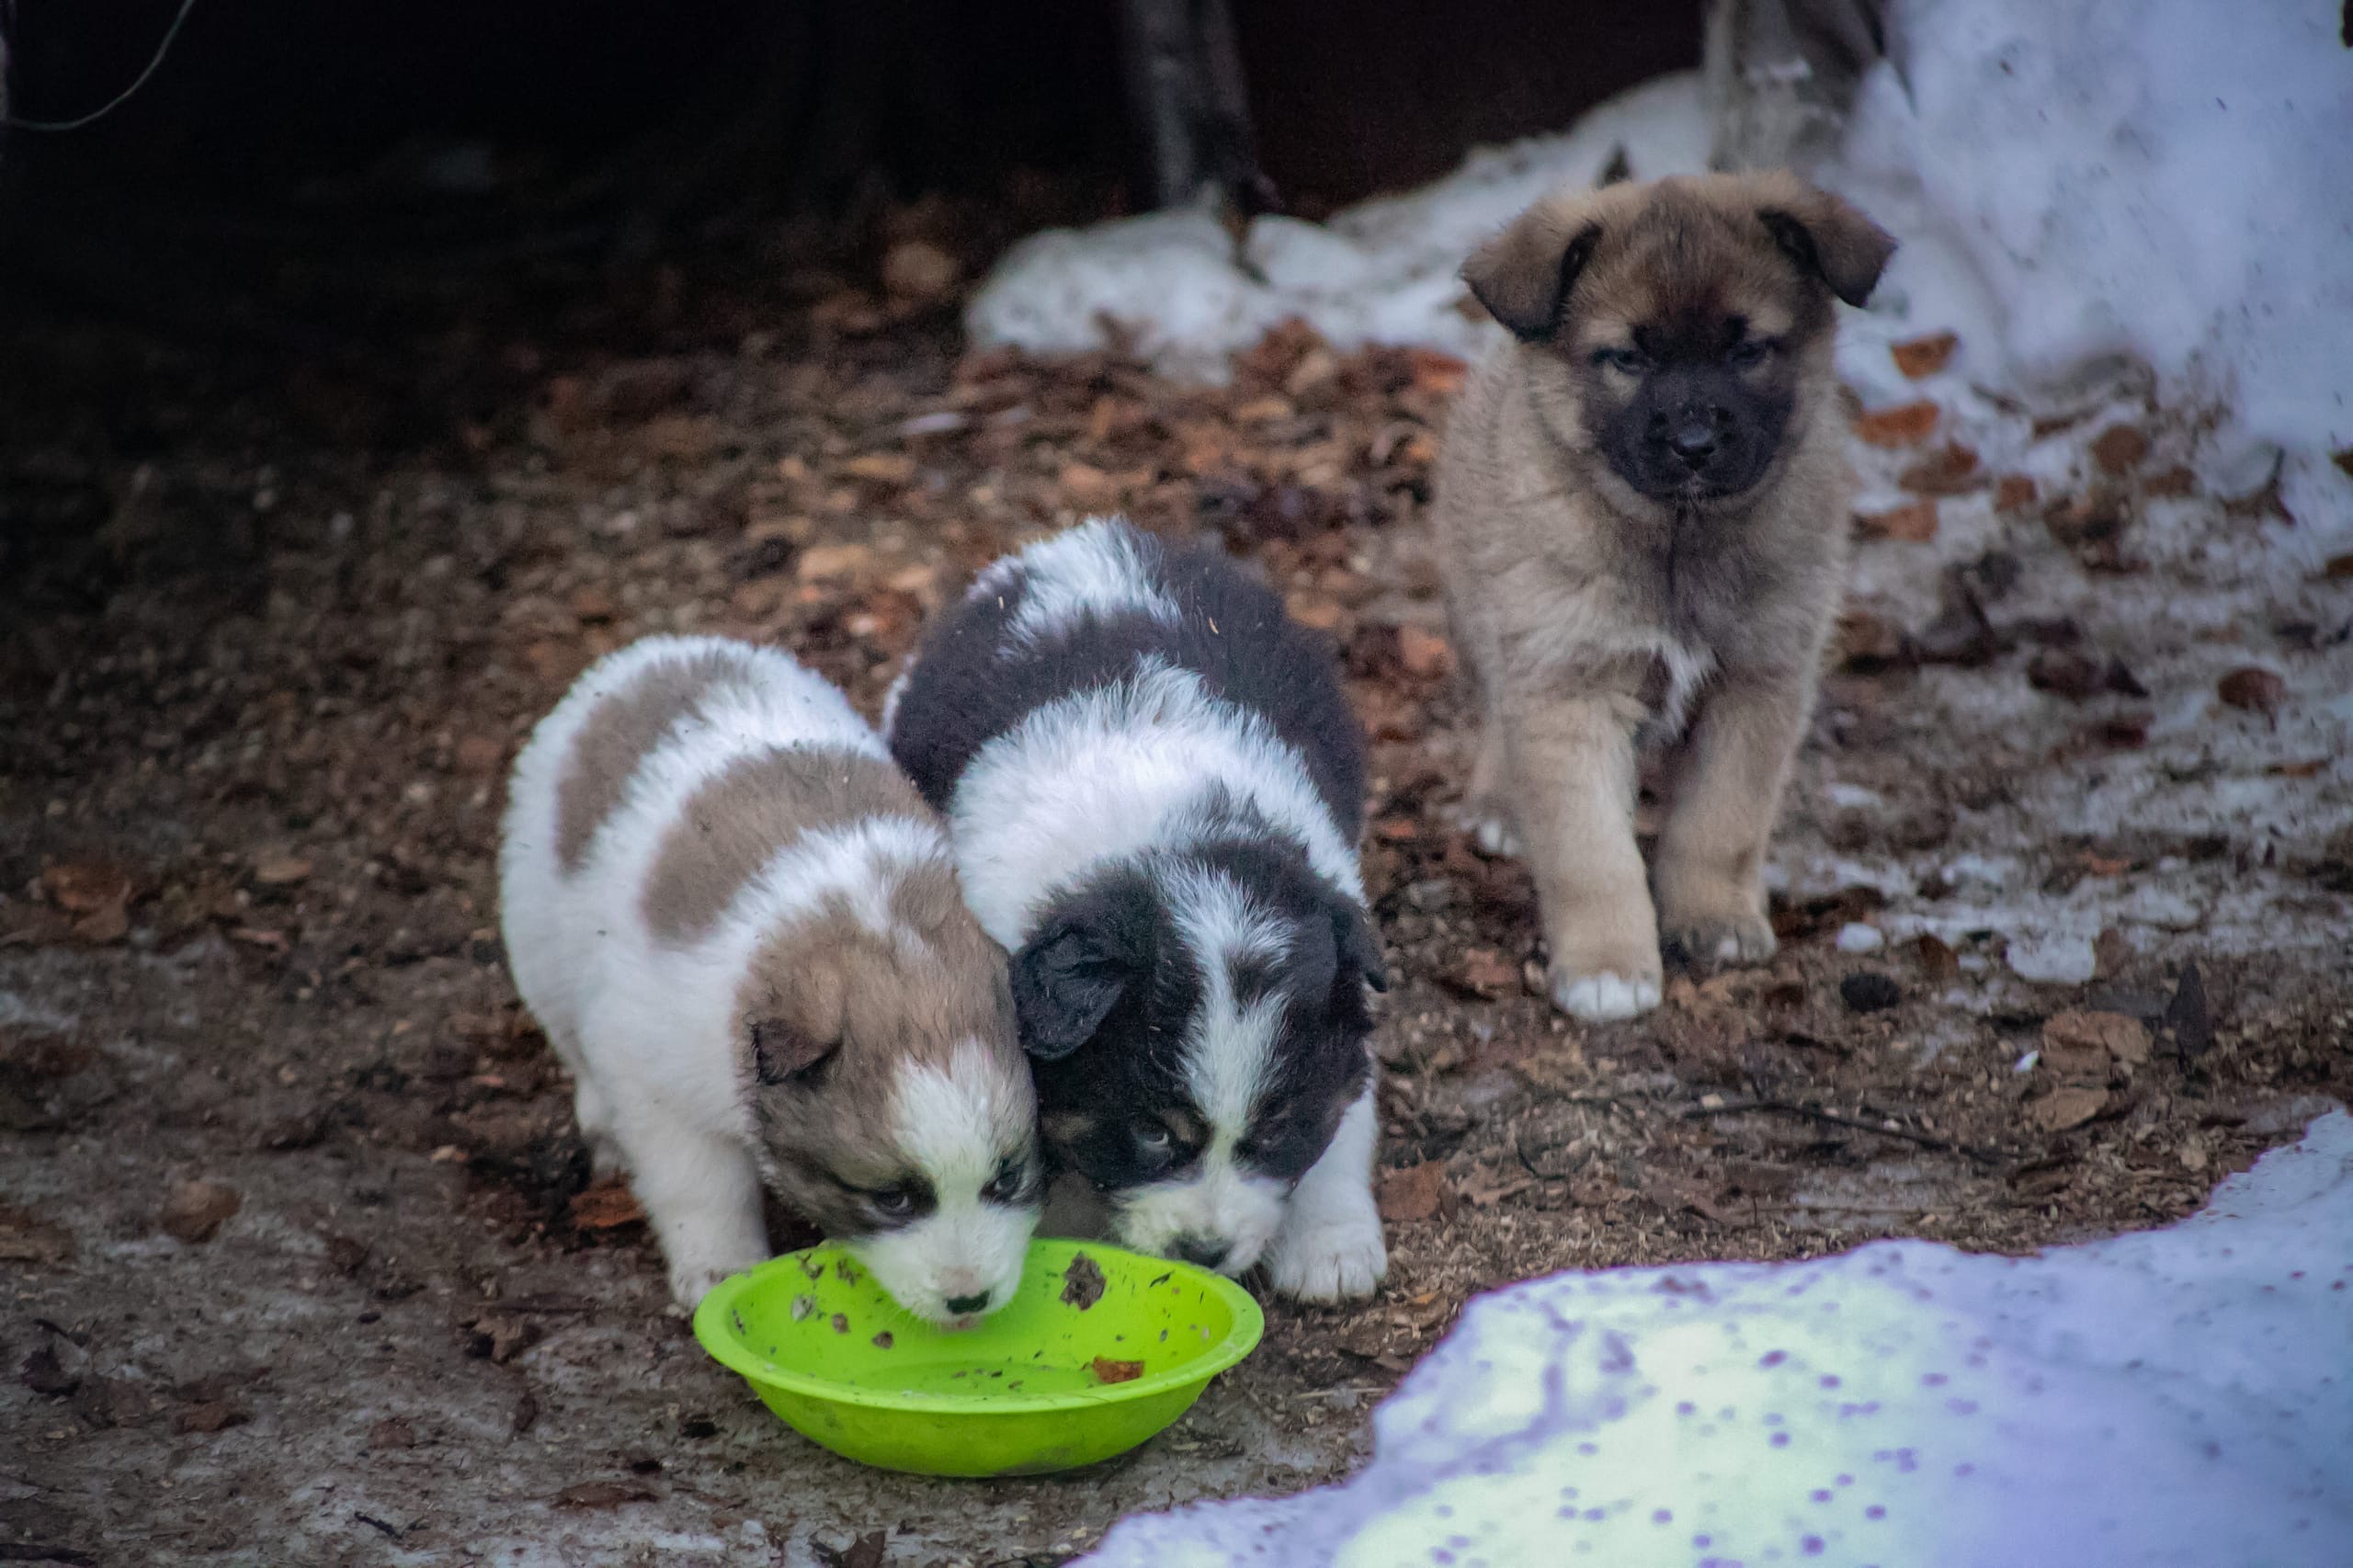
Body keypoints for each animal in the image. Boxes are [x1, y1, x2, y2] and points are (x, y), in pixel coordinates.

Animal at [498, 631, 1040, 1309]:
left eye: (1008, 1176)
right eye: (892, 1198)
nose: (968, 1303)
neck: (870, 922)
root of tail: (651, 650)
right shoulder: (657, 1080)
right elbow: (700, 1184)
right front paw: (719, 1266)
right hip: (538, 942)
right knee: (572, 1045)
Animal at [889, 513, 1383, 1290]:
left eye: (1274, 1128)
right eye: (1151, 1131)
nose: (1204, 1253)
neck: (1174, 842)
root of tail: (1087, 537)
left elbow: (1342, 1121)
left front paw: (1332, 1249)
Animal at [1430, 174, 1892, 1026]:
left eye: (1747, 350)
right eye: (1628, 358)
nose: (1694, 446)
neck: (1677, 541)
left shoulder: (1758, 684)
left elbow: (1720, 823)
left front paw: (1713, 917)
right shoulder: (1566, 686)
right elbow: (1590, 853)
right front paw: (1608, 966)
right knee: (1497, 721)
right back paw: (1501, 808)